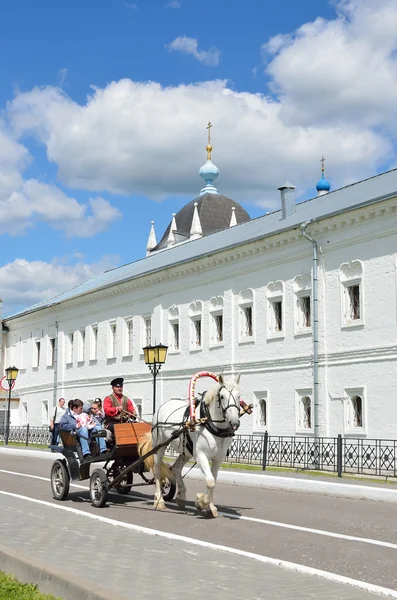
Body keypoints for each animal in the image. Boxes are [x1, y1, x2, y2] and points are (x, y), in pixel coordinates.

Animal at [138, 376, 240, 516]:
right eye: (222, 396)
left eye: (239, 396)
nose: (235, 422)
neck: (209, 423)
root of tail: (162, 406)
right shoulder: (201, 455)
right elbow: (210, 481)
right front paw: (201, 503)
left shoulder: (218, 458)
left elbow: (213, 480)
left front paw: (210, 505)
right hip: (159, 446)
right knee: (157, 470)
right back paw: (159, 500)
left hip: (185, 451)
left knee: (176, 469)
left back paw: (181, 497)